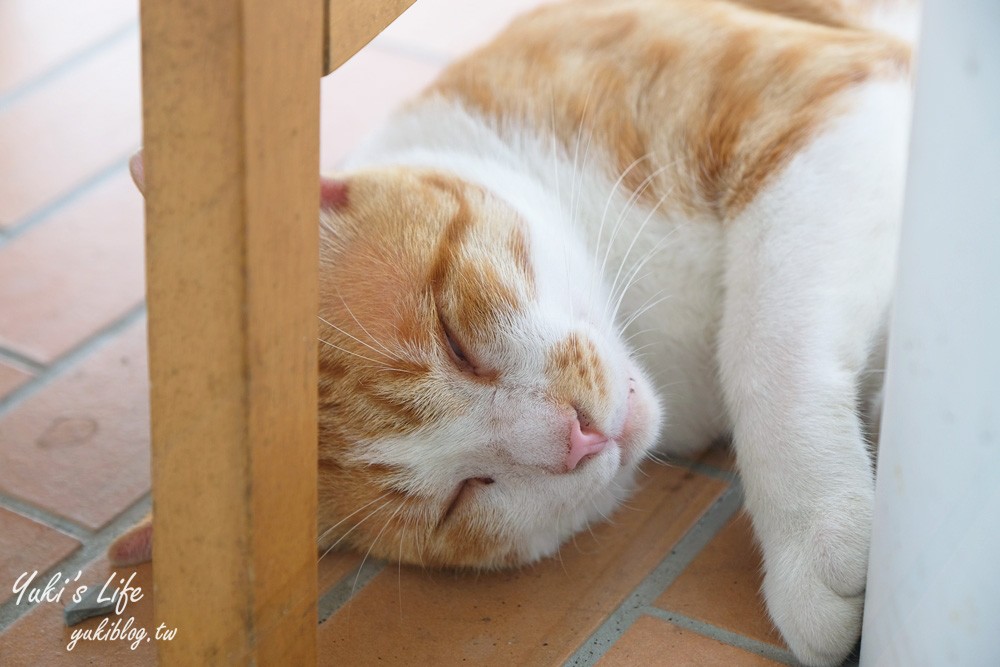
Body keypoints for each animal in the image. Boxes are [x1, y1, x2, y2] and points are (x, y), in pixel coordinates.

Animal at [113, 2, 916, 664]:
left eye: (454, 336)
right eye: (461, 497)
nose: (576, 436)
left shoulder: (823, 98)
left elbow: (764, 347)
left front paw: (815, 534)